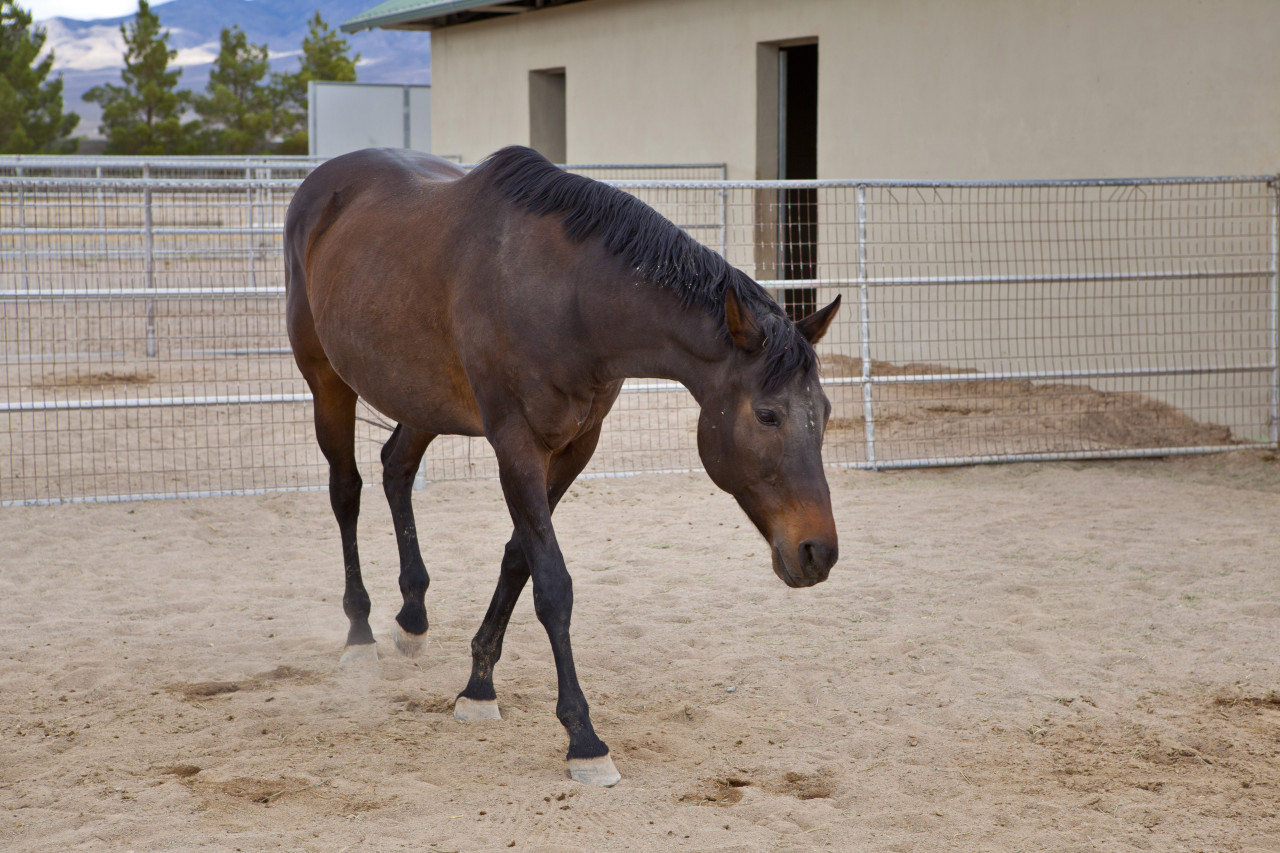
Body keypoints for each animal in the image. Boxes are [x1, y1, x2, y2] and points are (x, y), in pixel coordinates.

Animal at [282, 144, 839, 783]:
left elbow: (517, 558)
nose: (818, 552)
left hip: (420, 398)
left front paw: (477, 687)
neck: (569, 300)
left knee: (395, 468)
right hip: (326, 380)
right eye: (768, 415)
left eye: (824, 410)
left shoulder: (575, 447)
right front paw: (584, 738)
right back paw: (359, 630)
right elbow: (552, 584)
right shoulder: (516, 445)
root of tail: (324, 182)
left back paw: (413, 616)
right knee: (345, 491)